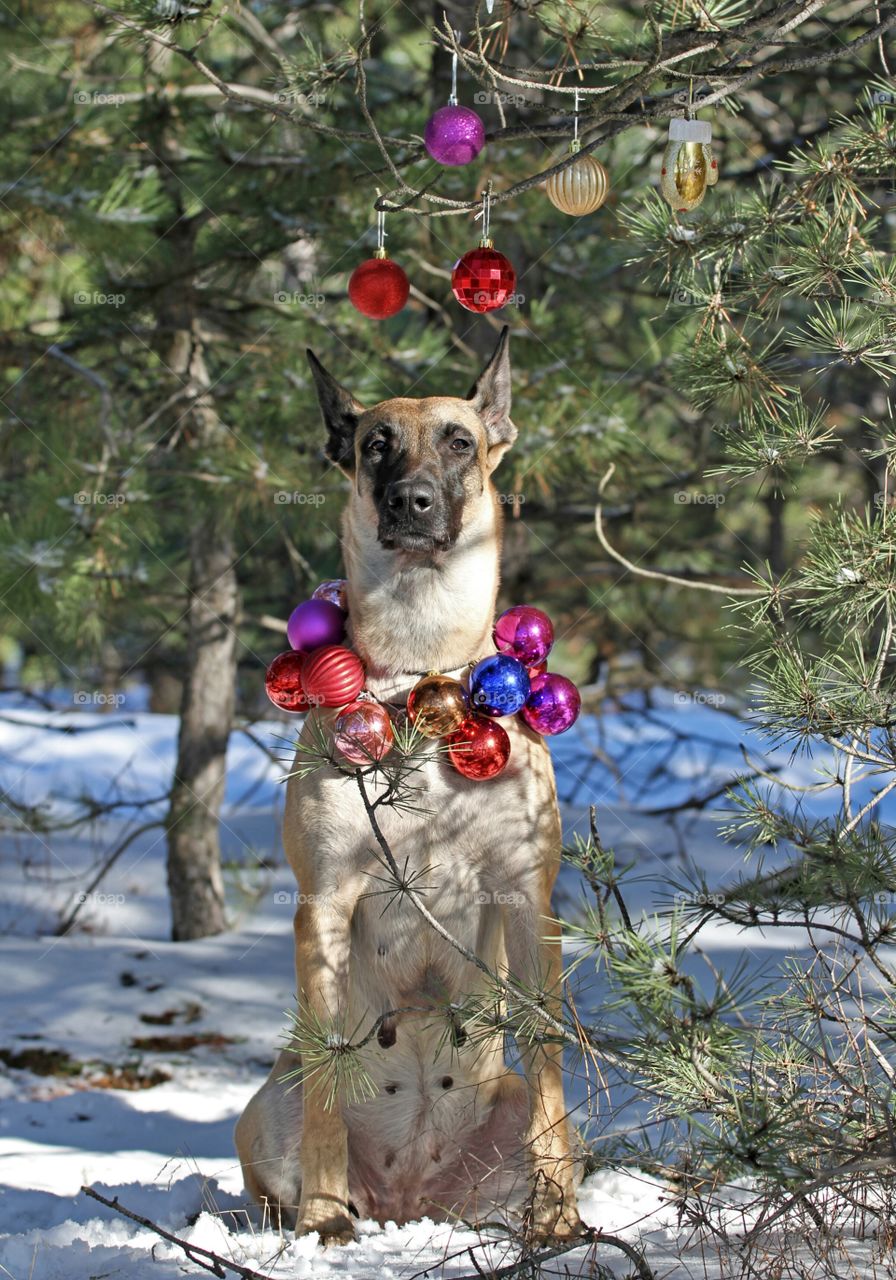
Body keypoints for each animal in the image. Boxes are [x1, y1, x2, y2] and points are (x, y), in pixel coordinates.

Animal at [234, 325, 581, 1244]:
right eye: (375, 445)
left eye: (459, 441)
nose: (412, 503)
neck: (422, 683)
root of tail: (410, 1199)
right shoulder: (323, 902)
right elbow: (327, 1077)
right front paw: (324, 1219)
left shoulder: (526, 897)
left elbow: (549, 1057)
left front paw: (559, 1217)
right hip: (262, 1107)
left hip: (497, 1110)